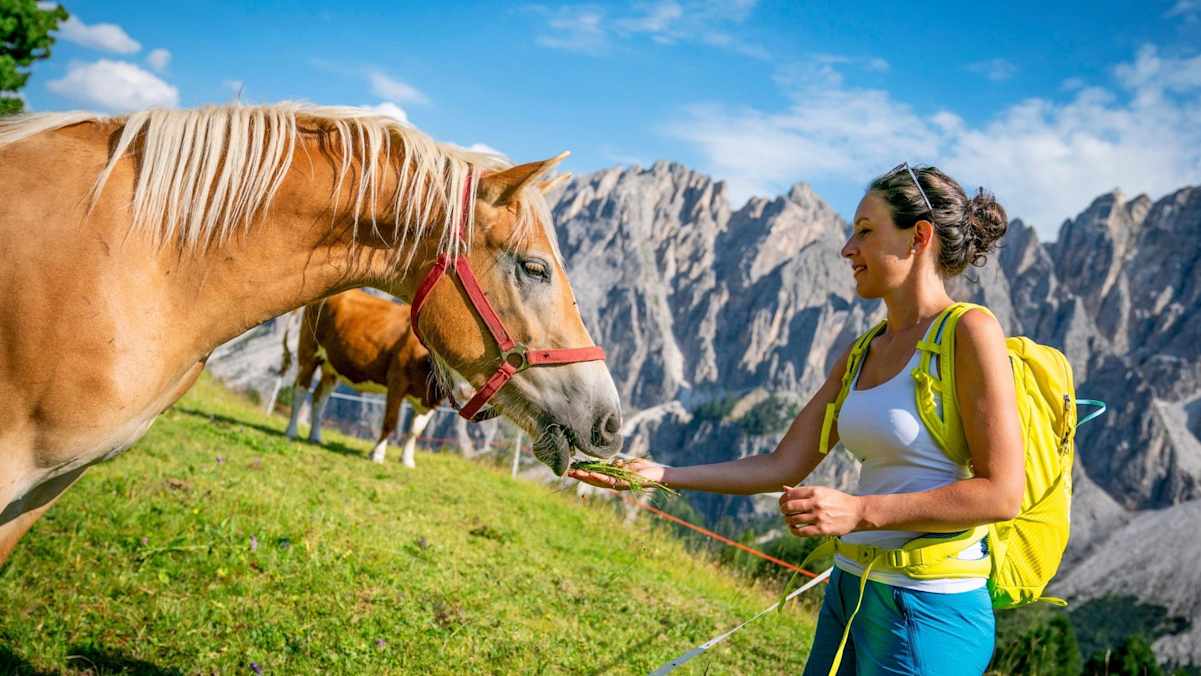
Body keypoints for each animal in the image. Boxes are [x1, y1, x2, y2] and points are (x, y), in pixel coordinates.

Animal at [282, 289, 443, 467]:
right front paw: (377, 455)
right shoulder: (397, 381)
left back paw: (315, 436)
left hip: (331, 367)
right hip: (309, 353)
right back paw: (291, 431)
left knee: (320, 398)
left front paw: (407, 460)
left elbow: (415, 430)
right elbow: (390, 421)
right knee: (300, 391)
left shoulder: (432, 401)